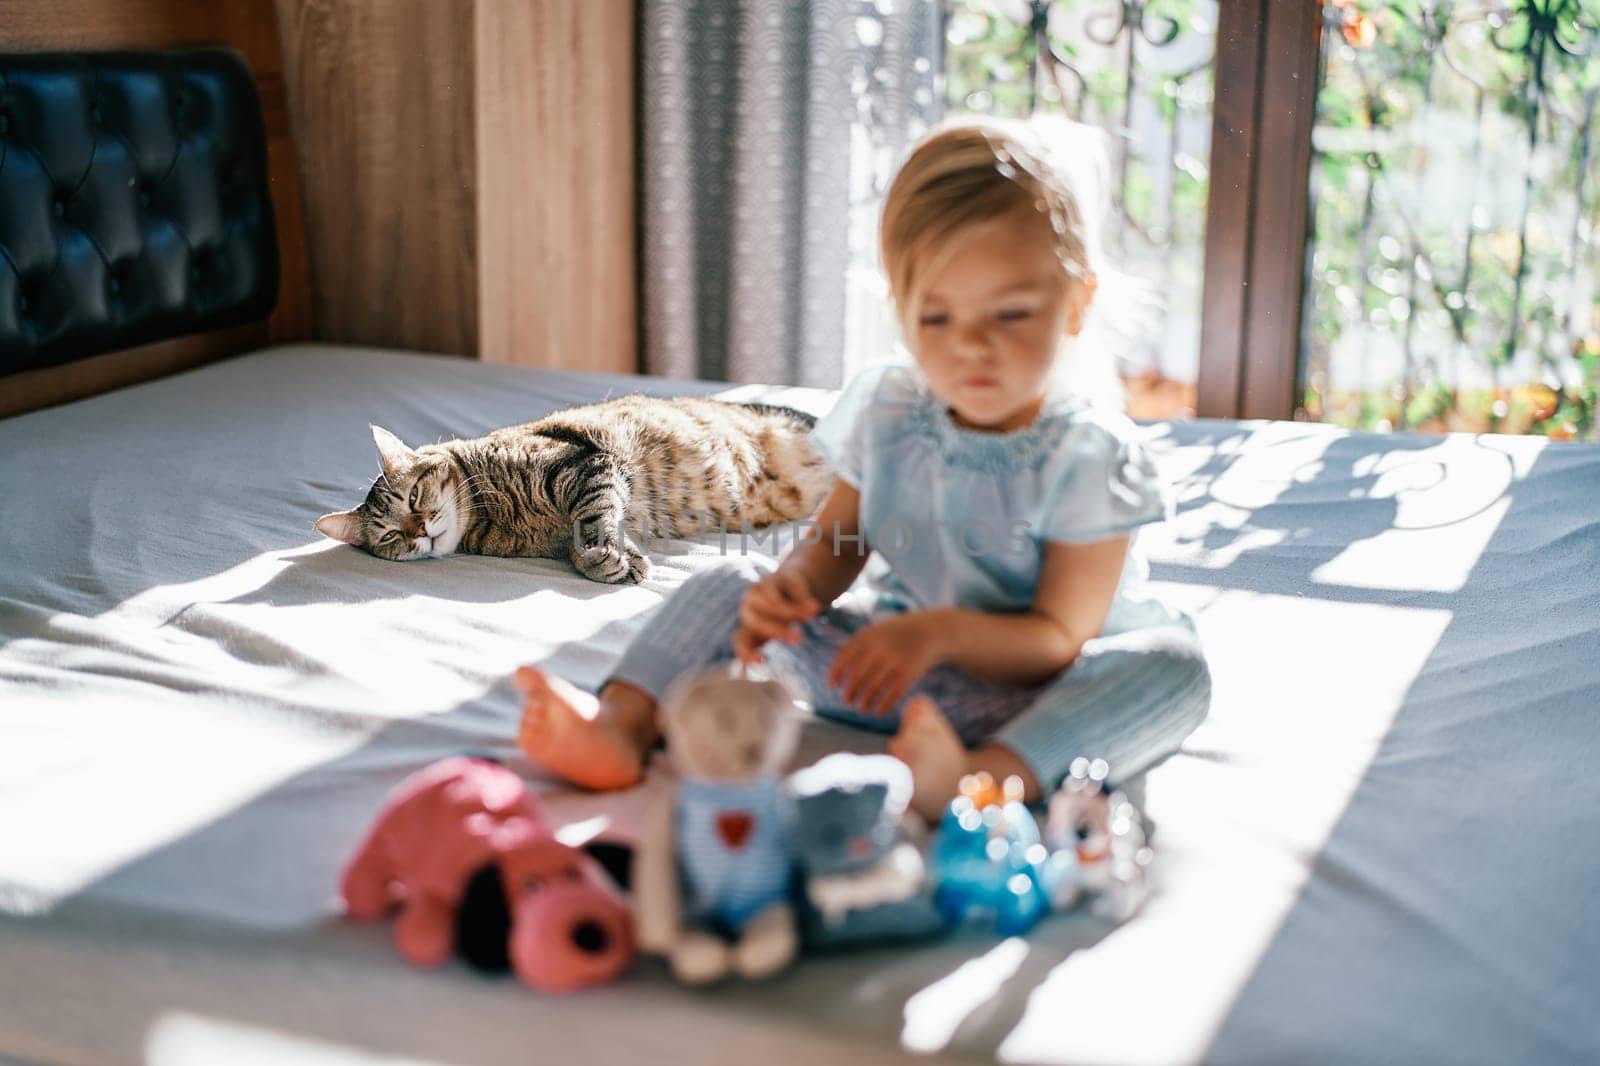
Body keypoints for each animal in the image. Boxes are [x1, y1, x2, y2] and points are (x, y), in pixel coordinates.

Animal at [318, 396, 832, 582]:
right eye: (390, 536)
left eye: (414, 498)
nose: (420, 531)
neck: (491, 515)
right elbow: (589, 538)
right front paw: (618, 563)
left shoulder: (583, 464)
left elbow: (593, 516)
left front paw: (603, 555)